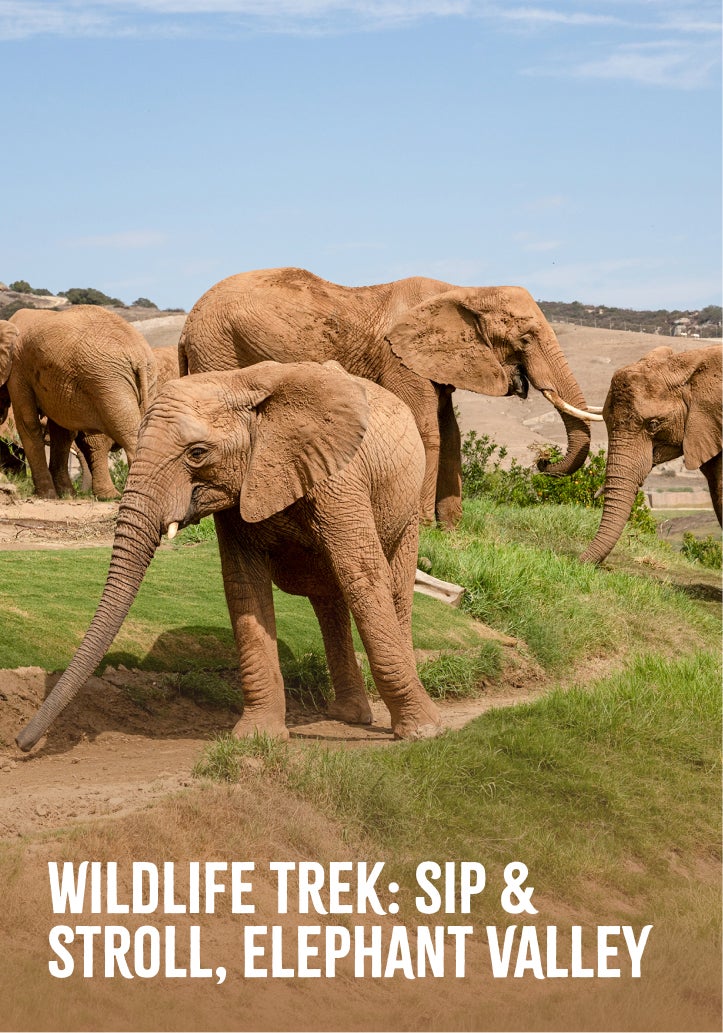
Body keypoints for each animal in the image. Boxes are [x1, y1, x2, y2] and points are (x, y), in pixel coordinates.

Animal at [0, 306, 157, 499]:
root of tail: (139, 358)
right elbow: (61, 432)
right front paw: (66, 494)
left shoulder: (18, 370)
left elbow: (28, 424)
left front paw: (47, 495)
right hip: (144, 380)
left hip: (109, 383)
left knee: (130, 437)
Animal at [16, 361, 442, 752]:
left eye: (197, 453)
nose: (22, 743)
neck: (241, 383)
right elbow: (244, 586)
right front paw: (256, 737)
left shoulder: (339, 478)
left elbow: (363, 577)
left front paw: (422, 733)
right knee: (328, 600)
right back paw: (348, 715)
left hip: (406, 506)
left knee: (392, 590)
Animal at [178, 267, 598, 527]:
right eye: (525, 338)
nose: (542, 461)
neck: (464, 290)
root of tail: (187, 323)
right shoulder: (398, 359)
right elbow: (429, 431)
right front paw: (426, 527)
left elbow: (452, 435)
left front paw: (453, 532)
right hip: (219, 346)